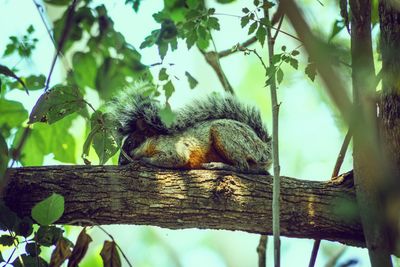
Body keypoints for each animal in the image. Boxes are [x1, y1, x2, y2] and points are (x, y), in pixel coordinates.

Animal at [108, 82, 274, 175]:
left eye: (130, 143)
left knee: (243, 167)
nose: (120, 162)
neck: (153, 141)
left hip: (225, 134)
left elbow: (176, 159)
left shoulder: (174, 149)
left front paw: (142, 160)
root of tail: (265, 148)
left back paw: (220, 166)